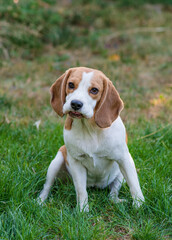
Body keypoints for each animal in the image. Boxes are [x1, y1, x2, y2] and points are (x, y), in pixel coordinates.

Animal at [38, 66, 144, 211]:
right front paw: (83, 211)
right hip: (56, 161)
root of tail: (96, 185)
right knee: (47, 186)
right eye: (71, 85)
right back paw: (40, 201)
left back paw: (116, 200)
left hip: (120, 175)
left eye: (94, 90)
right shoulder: (76, 162)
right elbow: (81, 191)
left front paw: (139, 206)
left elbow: (134, 185)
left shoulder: (125, 159)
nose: (76, 104)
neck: (90, 129)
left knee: (112, 194)